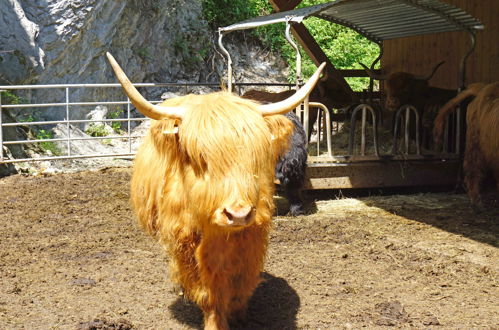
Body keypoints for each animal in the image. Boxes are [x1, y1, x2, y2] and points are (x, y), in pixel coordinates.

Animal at [106, 52, 326, 328]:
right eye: (199, 157)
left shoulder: (252, 236)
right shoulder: (185, 242)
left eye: (256, 154)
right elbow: (207, 290)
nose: (238, 214)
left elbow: (240, 283)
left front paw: (239, 315)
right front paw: (214, 319)